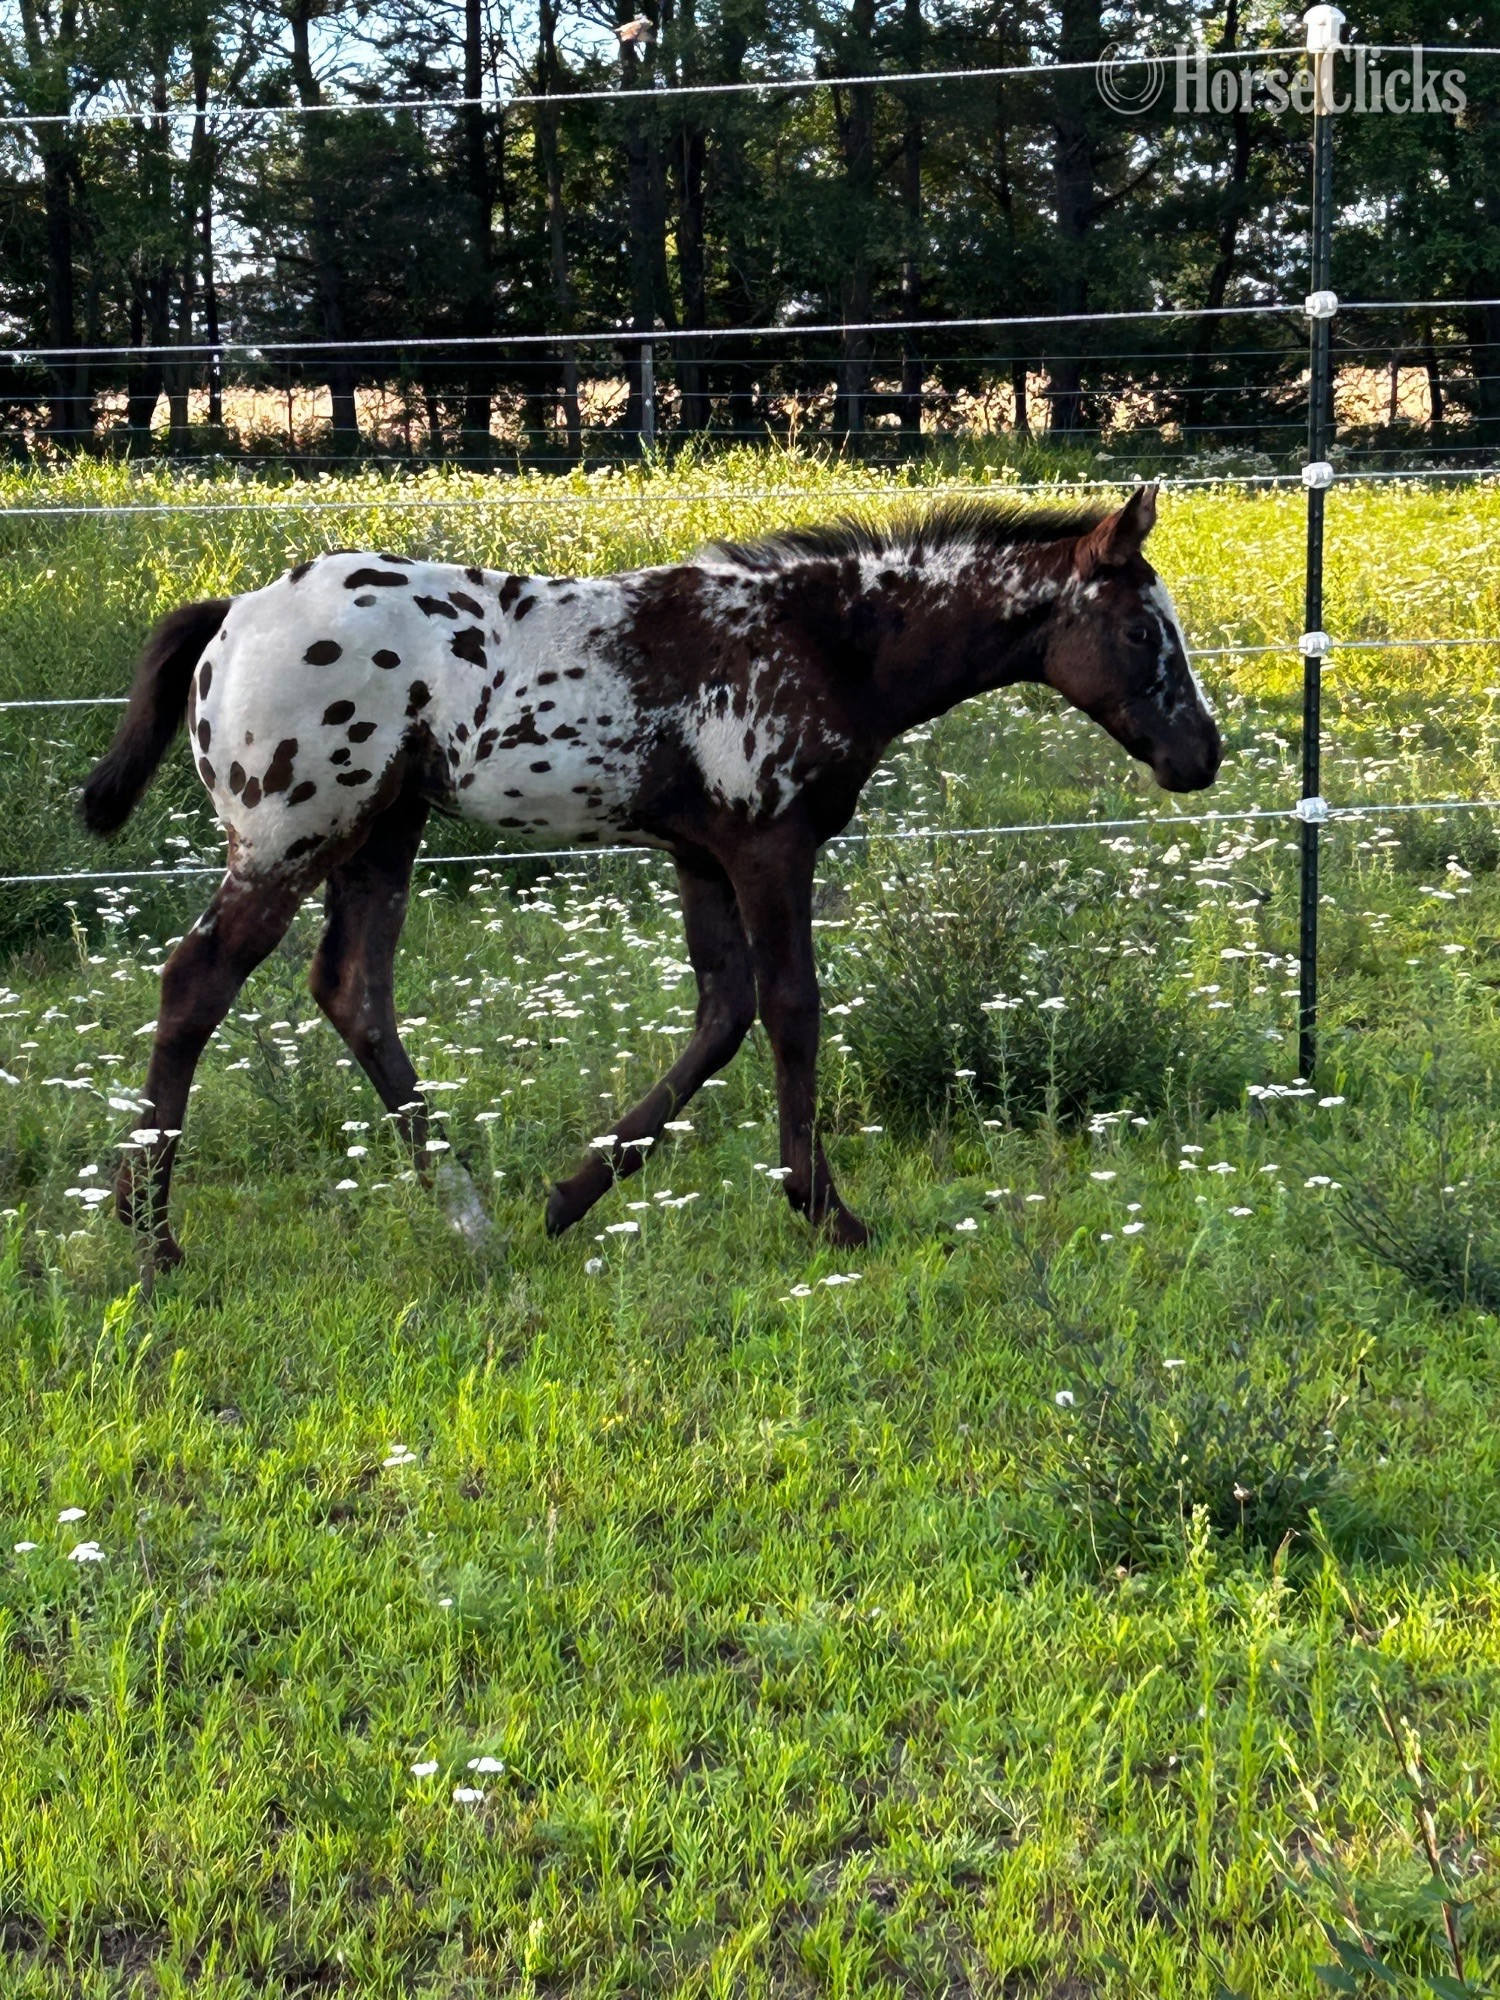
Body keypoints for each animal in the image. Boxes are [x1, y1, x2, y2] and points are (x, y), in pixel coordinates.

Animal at [80, 482, 1219, 1267]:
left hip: (383, 833)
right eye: (1140, 628)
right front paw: (830, 1214)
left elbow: (721, 1013)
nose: (1199, 756)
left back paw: (472, 1218)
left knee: (352, 989)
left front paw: (568, 1195)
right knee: (197, 981)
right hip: (295, 834)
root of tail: (231, 614)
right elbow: (790, 1007)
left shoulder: (701, 854)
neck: (821, 640)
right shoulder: (768, 844)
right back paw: (154, 1236)